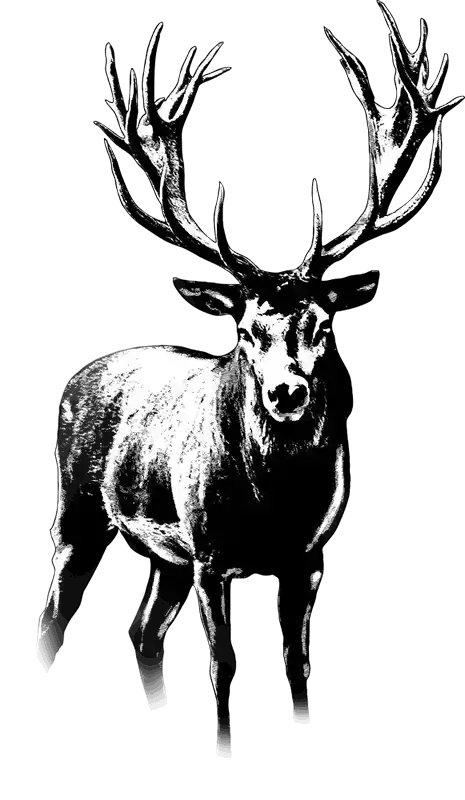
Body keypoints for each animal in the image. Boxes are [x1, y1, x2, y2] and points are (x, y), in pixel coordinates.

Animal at [37, 4, 462, 756]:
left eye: (321, 324)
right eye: (245, 330)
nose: (286, 392)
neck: (273, 506)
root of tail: (80, 374)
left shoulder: (307, 558)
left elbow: (295, 668)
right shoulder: (210, 553)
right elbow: (225, 671)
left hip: (163, 559)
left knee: (145, 631)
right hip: (75, 514)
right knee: (53, 605)